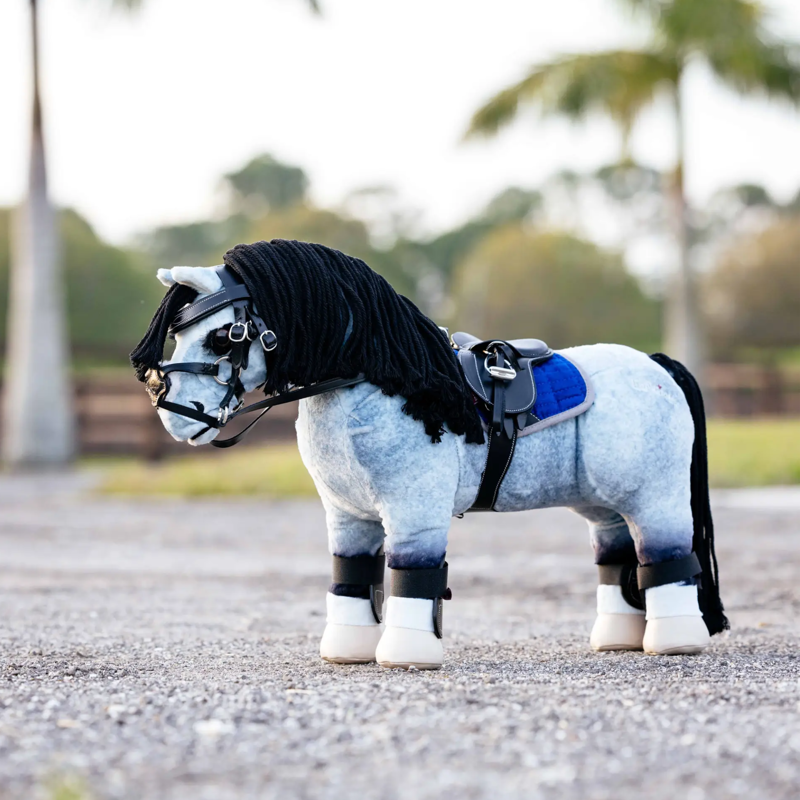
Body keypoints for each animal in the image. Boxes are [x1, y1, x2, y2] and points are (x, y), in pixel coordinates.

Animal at [131, 239, 727, 670]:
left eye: (222, 337)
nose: (174, 413)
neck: (380, 379)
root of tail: (655, 364)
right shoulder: (347, 516)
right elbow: (352, 574)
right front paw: (348, 651)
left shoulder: (414, 511)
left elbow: (410, 575)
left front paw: (406, 656)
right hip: (603, 504)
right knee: (617, 555)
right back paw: (618, 640)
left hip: (655, 496)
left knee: (666, 557)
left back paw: (674, 641)